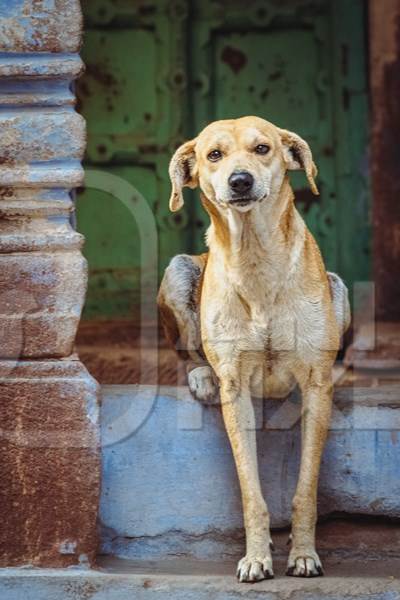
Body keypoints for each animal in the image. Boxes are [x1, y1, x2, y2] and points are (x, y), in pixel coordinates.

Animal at [157, 116, 350, 580]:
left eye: (262, 148)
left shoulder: (315, 389)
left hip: (339, 287)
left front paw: (303, 553)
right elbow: (251, 491)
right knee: (186, 351)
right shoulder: (237, 390)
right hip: (178, 269)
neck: (256, 256)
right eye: (214, 155)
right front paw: (258, 557)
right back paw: (199, 375)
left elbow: (305, 489)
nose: (240, 180)